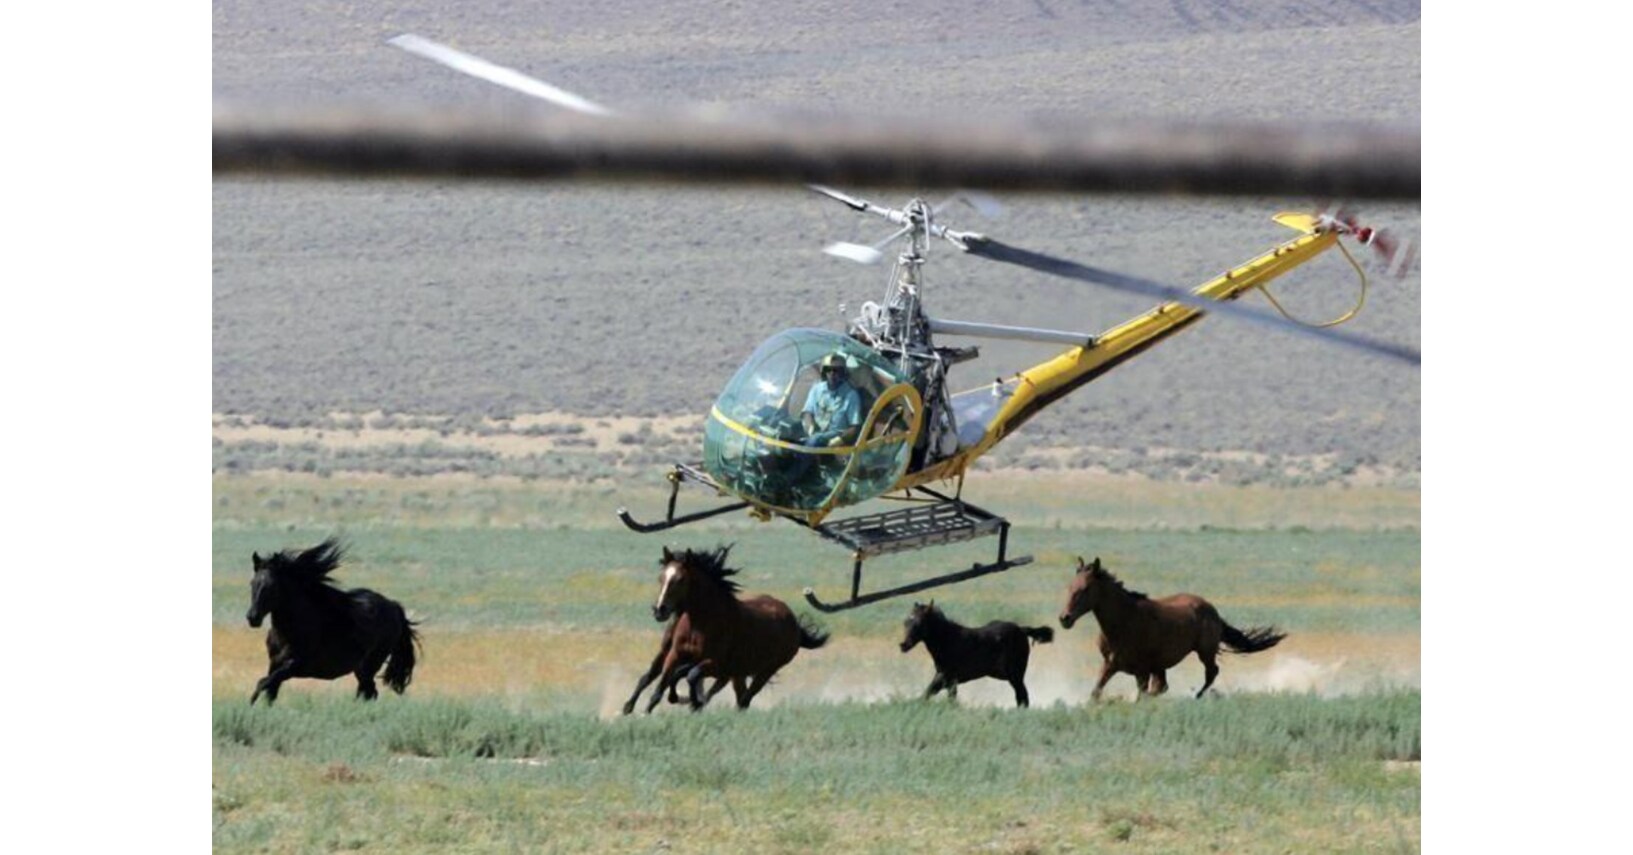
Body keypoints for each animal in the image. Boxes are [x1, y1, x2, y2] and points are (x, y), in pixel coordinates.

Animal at [246, 538, 420, 706]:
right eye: (252, 583)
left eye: (272, 586)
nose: (252, 618)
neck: (289, 631)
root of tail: (393, 606)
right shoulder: (274, 663)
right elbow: (270, 693)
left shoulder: (294, 666)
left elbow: (262, 683)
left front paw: (250, 704)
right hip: (361, 669)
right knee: (368, 692)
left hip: (370, 665)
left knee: (368, 692)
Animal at [644, 545, 828, 712]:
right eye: (661, 577)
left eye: (680, 579)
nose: (659, 610)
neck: (698, 625)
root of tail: (794, 623)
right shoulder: (676, 655)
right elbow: (661, 687)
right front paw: (649, 710)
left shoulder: (716, 664)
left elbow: (691, 675)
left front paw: (693, 701)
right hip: (739, 673)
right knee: (740, 697)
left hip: (766, 671)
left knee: (745, 699)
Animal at [899, 601, 1054, 707]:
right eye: (906, 622)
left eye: (919, 623)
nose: (903, 645)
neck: (948, 640)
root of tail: (1022, 630)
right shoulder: (949, 681)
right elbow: (944, 697)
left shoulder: (946, 676)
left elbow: (928, 693)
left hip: (1015, 675)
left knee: (1022, 696)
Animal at [1058, 556, 1285, 700]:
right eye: (1069, 587)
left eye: (1085, 589)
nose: (1064, 618)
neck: (1124, 622)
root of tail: (1212, 610)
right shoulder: (1110, 664)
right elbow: (1095, 693)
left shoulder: (1142, 671)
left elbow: (1142, 696)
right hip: (1162, 665)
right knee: (1165, 686)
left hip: (1204, 652)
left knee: (1211, 673)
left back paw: (1197, 696)